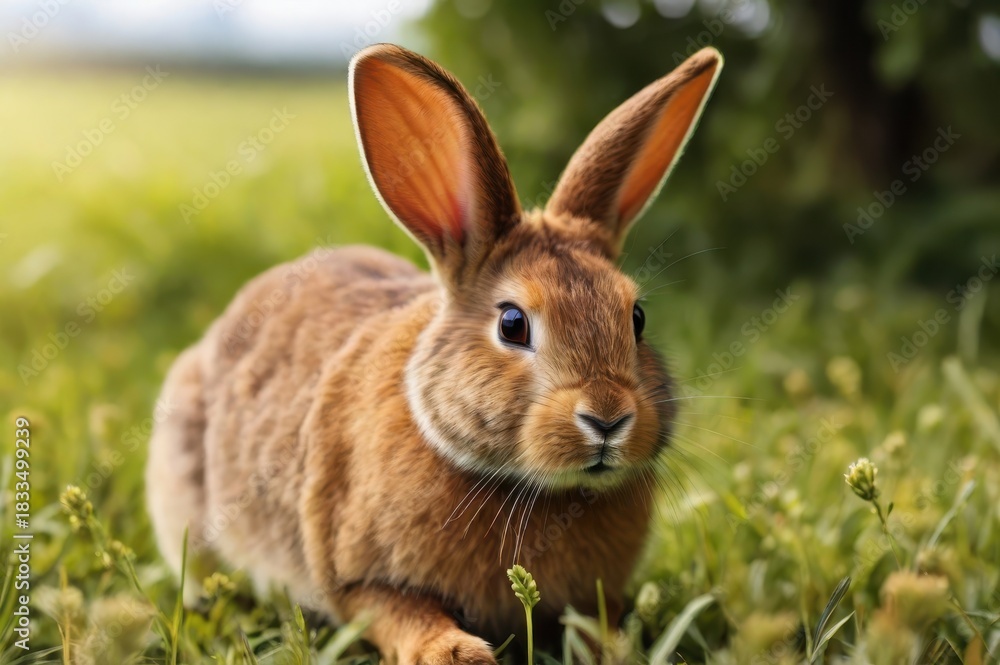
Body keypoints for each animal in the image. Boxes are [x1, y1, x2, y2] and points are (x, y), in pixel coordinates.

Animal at [145, 43, 722, 663]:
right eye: (512, 324)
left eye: (636, 318)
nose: (609, 418)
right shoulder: (357, 581)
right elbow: (401, 613)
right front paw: (458, 653)